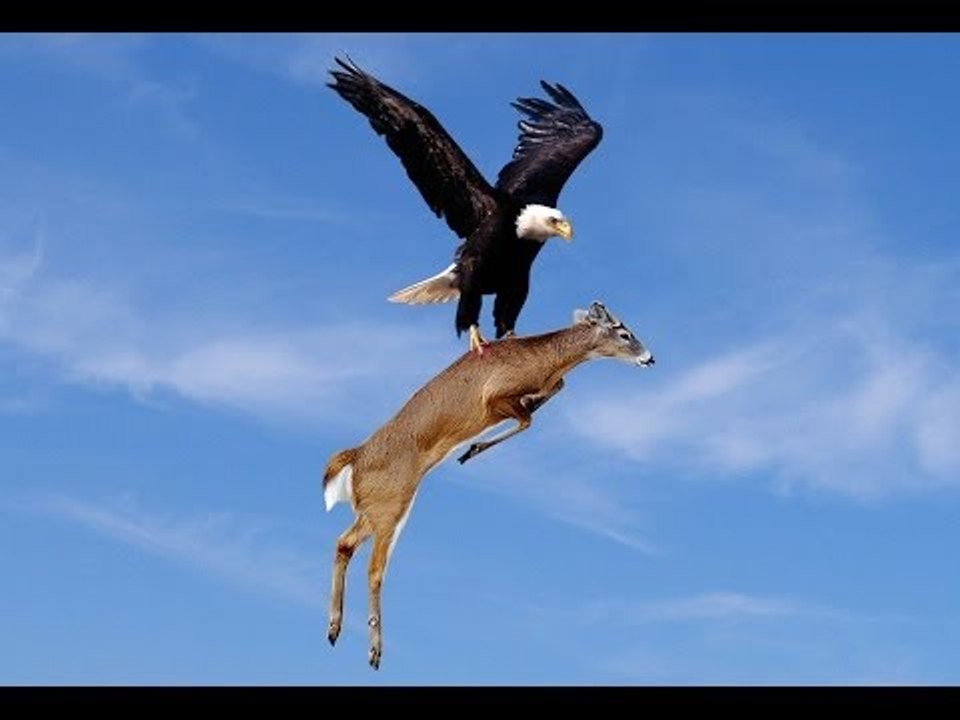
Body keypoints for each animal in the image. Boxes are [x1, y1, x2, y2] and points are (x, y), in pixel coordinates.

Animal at [322, 301, 654, 669]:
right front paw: (472, 449)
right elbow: (528, 417)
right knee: (374, 569)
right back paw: (374, 650)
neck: (545, 358)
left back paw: (334, 628)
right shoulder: (494, 398)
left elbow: (553, 391)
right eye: (624, 333)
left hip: (373, 510)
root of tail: (356, 458)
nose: (650, 358)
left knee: (343, 543)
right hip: (392, 507)